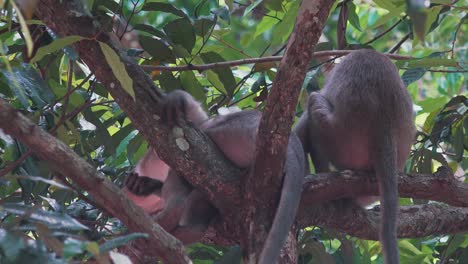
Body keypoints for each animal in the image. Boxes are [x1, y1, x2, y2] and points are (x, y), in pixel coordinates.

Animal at [125, 89, 308, 262]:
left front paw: (175, 98)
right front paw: (142, 186)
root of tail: (291, 141)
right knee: (199, 207)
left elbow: (193, 114)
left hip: (235, 134)